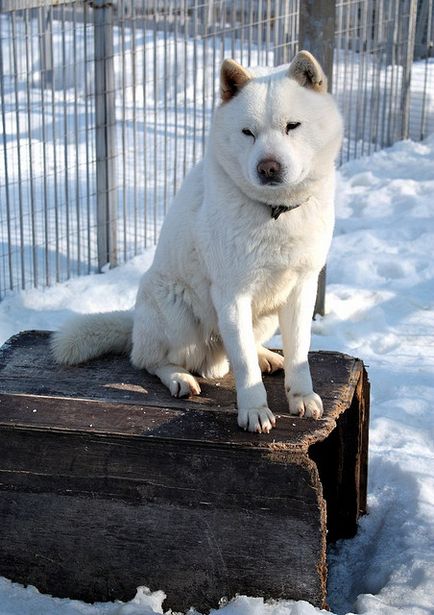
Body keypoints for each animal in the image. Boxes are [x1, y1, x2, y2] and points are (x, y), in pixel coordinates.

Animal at [51, 51, 342, 434]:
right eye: (247, 133)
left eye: (292, 126)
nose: (268, 168)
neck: (274, 212)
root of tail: (136, 322)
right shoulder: (232, 294)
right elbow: (244, 365)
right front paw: (254, 410)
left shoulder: (302, 288)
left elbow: (299, 352)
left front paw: (301, 397)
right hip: (176, 312)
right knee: (150, 360)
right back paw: (179, 378)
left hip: (264, 317)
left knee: (242, 348)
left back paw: (265, 356)